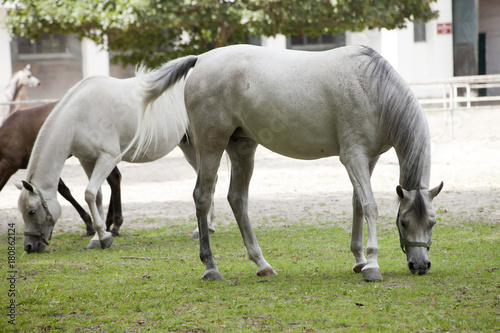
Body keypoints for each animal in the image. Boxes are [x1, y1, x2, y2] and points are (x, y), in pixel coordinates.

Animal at [0, 102, 122, 235]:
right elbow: (64, 190)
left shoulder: (8, 166)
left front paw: (89, 224)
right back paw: (109, 222)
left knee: (114, 178)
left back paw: (115, 223)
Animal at [17, 66, 213, 253]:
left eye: (32, 211)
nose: (29, 246)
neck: (79, 115)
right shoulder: (87, 160)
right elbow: (97, 196)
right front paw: (98, 237)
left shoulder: (107, 159)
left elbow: (89, 194)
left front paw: (104, 237)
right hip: (188, 146)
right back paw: (206, 227)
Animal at [135, 44, 444, 280]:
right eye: (403, 222)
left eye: (432, 222)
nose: (420, 265)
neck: (372, 88)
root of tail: (201, 59)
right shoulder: (353, 156)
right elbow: (370, 205)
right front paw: (372, 265)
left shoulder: (370, 158)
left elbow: (357, 203)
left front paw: (359, 260)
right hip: (211, 146)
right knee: (203, 196)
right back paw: (211, 267)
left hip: (242, 148)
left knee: (237, 199)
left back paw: (262, 264)